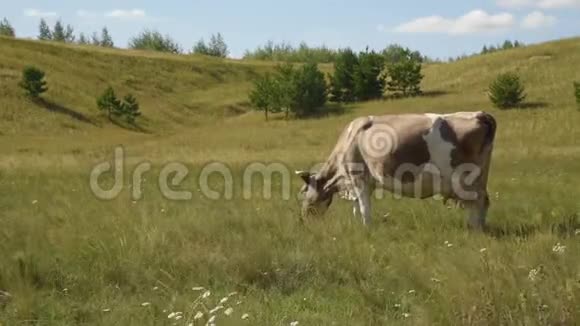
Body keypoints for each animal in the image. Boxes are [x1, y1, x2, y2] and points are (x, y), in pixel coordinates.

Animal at [296, 111, 496, 230]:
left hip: (466, 179)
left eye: (303, 192)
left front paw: (367, 229)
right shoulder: (362, 183)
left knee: (478, 202)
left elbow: (363, 207)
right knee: (484, 202)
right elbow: (357, 206)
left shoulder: (358, 176)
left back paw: (475, 229)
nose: (303, 219)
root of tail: (479, 114)